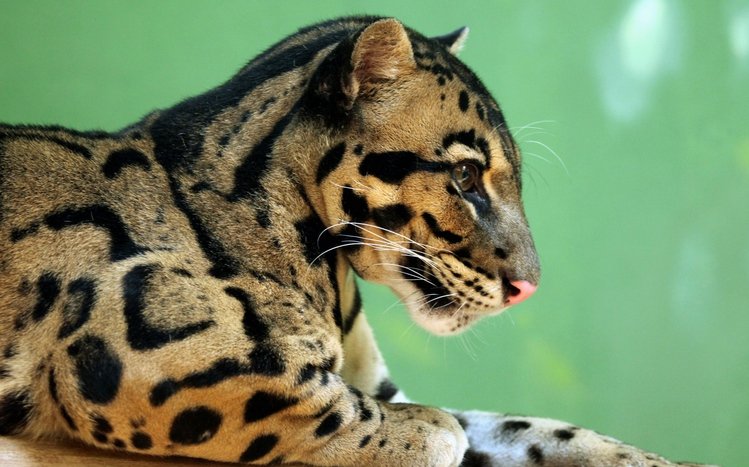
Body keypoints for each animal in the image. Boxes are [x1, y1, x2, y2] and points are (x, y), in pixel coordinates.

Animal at [0, 16, 713, 466]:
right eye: (465, 176)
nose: (528, 288)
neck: (333, 281)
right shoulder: (135, 351)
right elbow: (385, 417)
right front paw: (435, 434)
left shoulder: (381, 384)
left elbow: (526, 426)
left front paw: (647, 459)